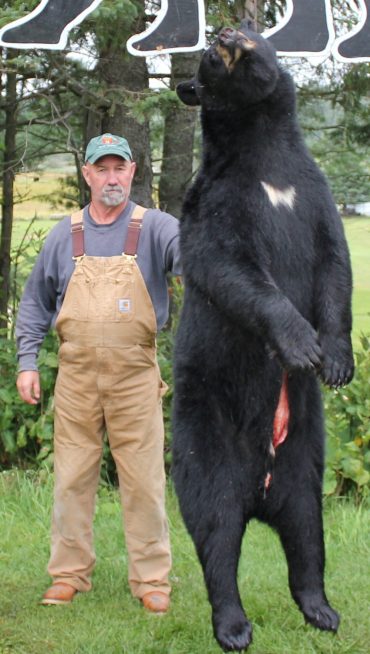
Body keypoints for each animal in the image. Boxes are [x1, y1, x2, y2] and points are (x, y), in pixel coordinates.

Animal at [172, 21, 354, 654]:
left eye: (253, 30)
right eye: (206, 56)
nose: (227, 31)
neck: (265, 161)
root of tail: (259, 489)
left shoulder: (315, 195)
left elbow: (335, 266)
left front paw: (337, 360)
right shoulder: (216, 202)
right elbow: (231, 265)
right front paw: (301, 343)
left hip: (304, 461)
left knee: (307, 535)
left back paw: (322, 609)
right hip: (204, 441)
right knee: (216, 532)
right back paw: (232, 625)